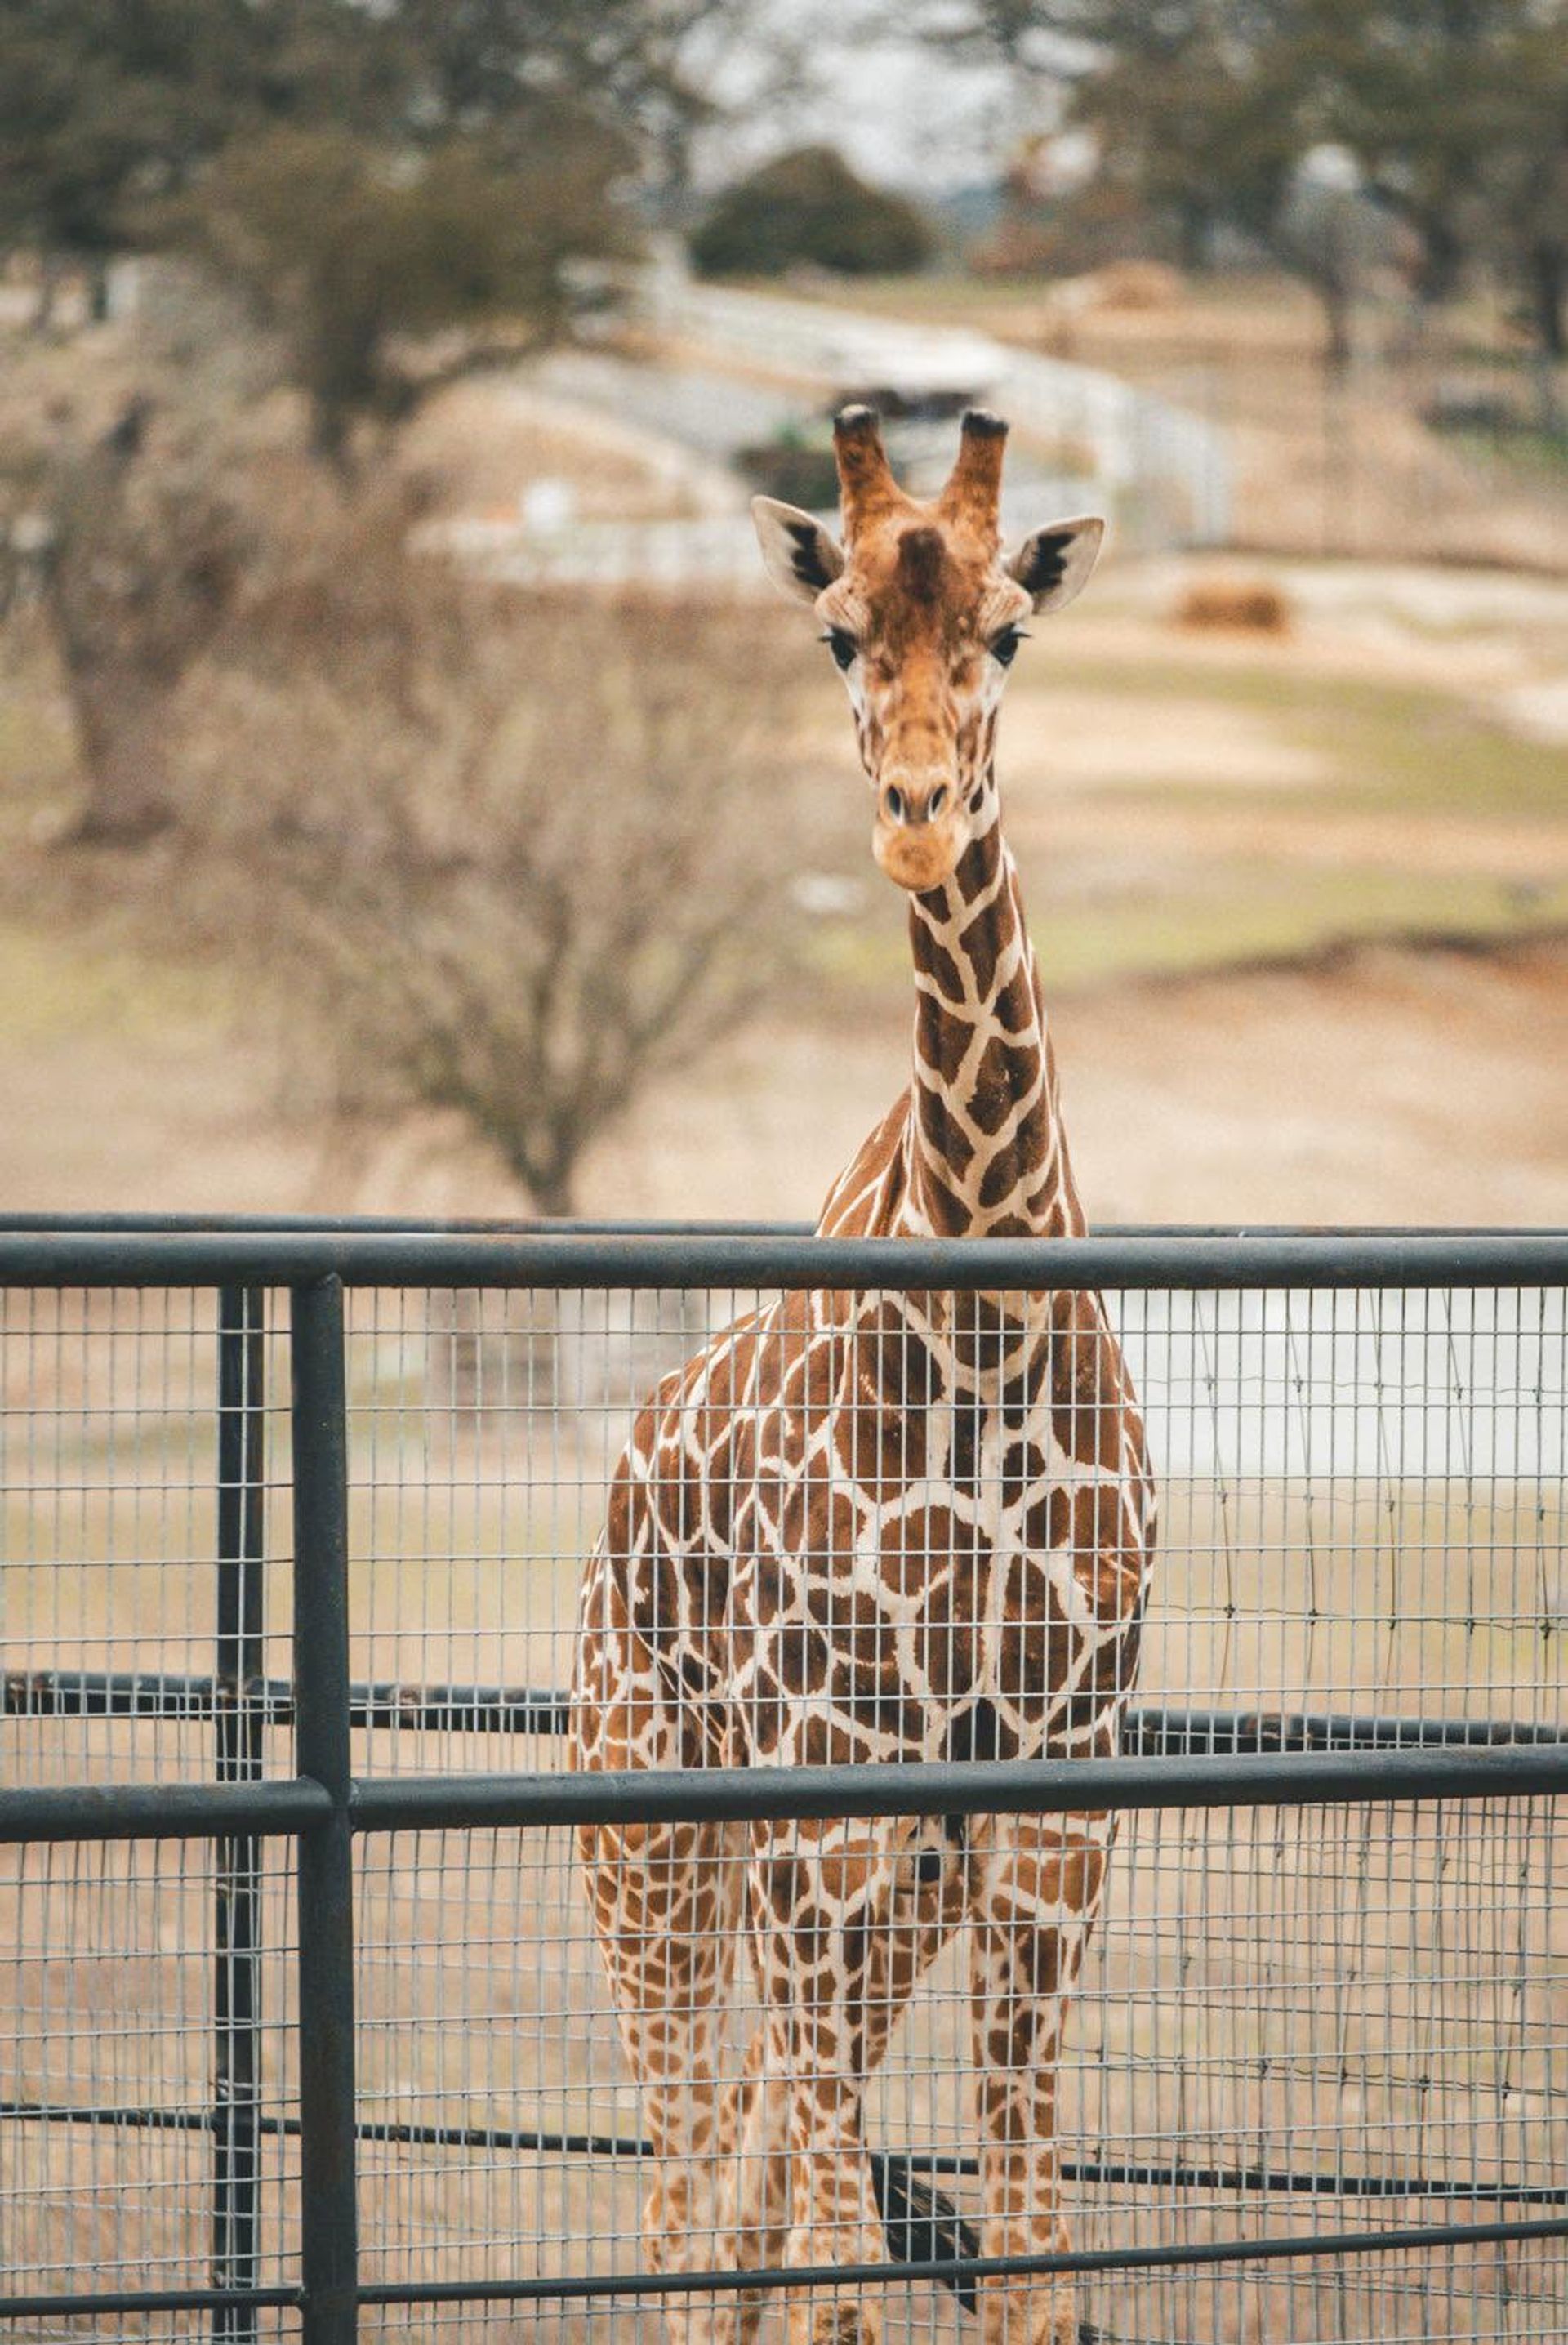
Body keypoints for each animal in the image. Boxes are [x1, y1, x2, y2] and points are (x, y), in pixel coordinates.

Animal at [570, 407, 1156, 2345]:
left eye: (1011, 631)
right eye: (835, 636)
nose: (914, 820)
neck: (981, 1336)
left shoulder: (1044, 1816)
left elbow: (1027, 2277)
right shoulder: (814, 1814)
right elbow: (836, 2283)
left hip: (878, 1882)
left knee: (742, 2194)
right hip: (652, 1824)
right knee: (681, 2216)